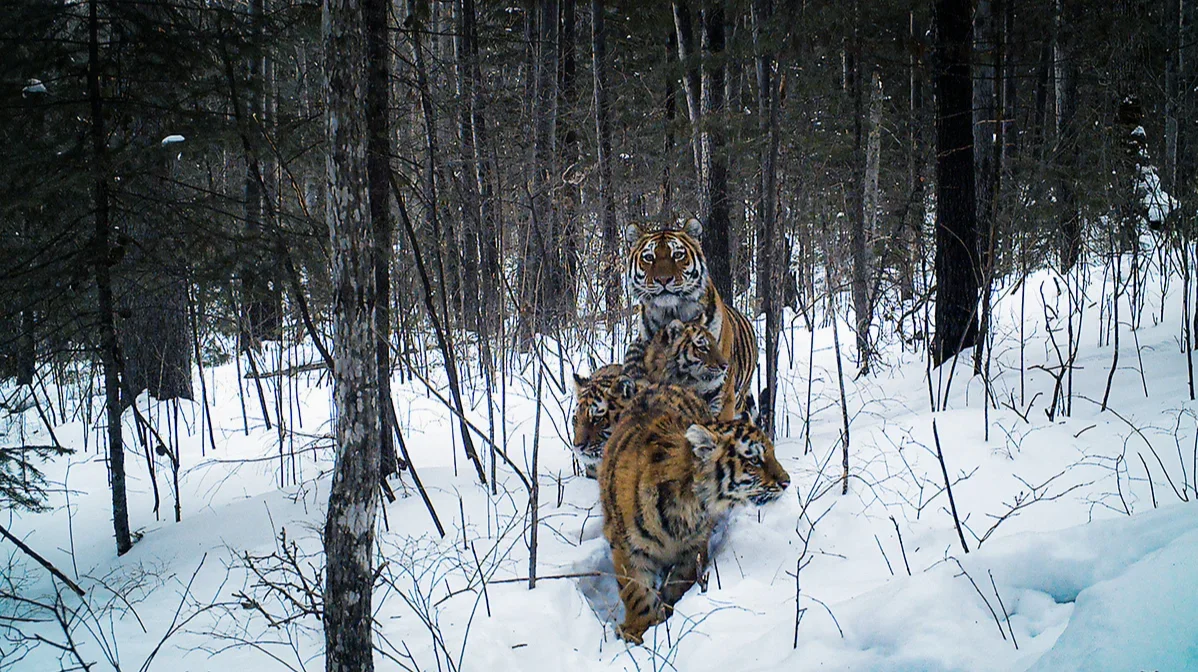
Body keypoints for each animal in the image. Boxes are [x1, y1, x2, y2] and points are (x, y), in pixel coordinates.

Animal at [599, 383, 790, 645]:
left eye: (772, 453)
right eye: (754, 460)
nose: (786, 482)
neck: (687, 503)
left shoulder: (693, 548)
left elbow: (679, 584)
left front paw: (668, 615)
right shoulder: (629, 548)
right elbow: (637, 592)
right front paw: (637, 631)